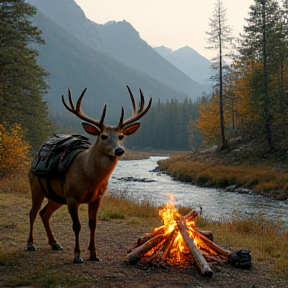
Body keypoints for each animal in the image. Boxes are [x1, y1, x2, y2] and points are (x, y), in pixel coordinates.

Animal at [26, 85, 152, 264]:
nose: (119, 150)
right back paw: (30, 244)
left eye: (121, 136)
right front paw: (77, 255)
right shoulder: (72, 197)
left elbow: (93, 224)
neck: (90, 178)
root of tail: (33, 161)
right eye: (103, 136)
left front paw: (93, 254)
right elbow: (77, 225)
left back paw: (54, 243)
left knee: (44, 213)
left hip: (57, 196)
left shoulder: (96, 198)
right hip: (36, 188)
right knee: (32, 213)